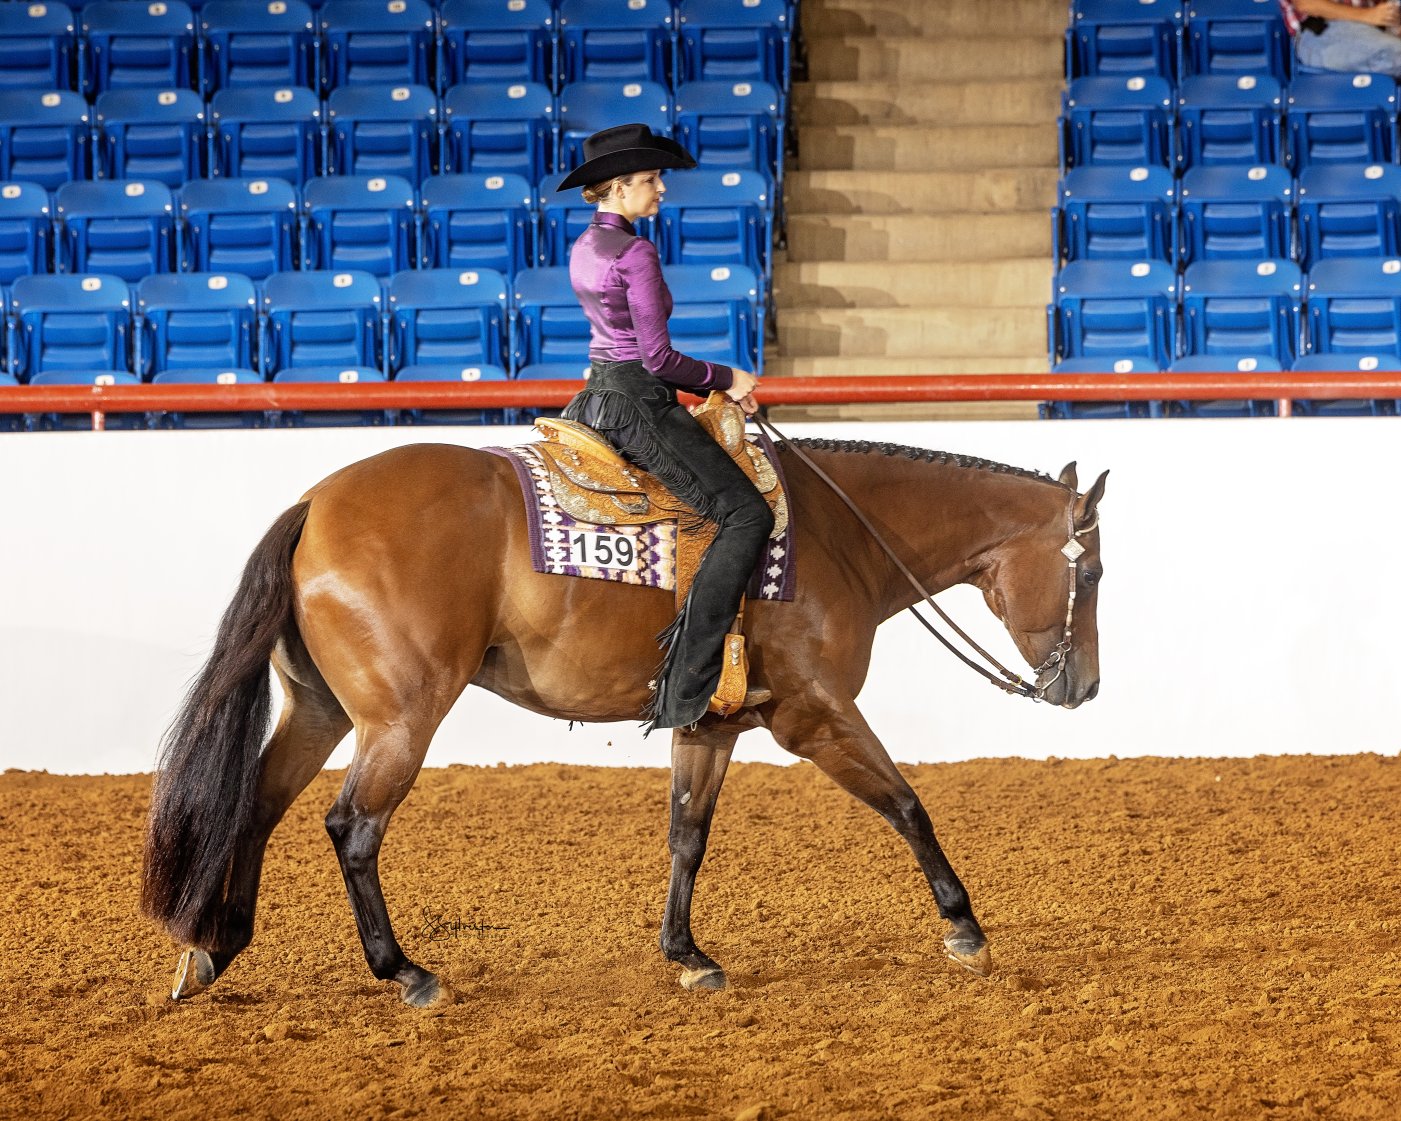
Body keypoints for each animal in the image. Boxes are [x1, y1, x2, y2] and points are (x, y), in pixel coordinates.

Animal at [140, 435, 1108, 1008]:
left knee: (257, 805)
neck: (838, 533)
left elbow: (687, 835)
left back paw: (214, 949)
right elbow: (906, 804)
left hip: (322, 709)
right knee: (352, 826)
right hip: (400, 717)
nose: (1086, 686)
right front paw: (965, 928)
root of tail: (314, 505)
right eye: (1091, 573)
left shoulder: (711, 725)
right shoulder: (816, 714)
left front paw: (687, 953)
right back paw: (405, 971)